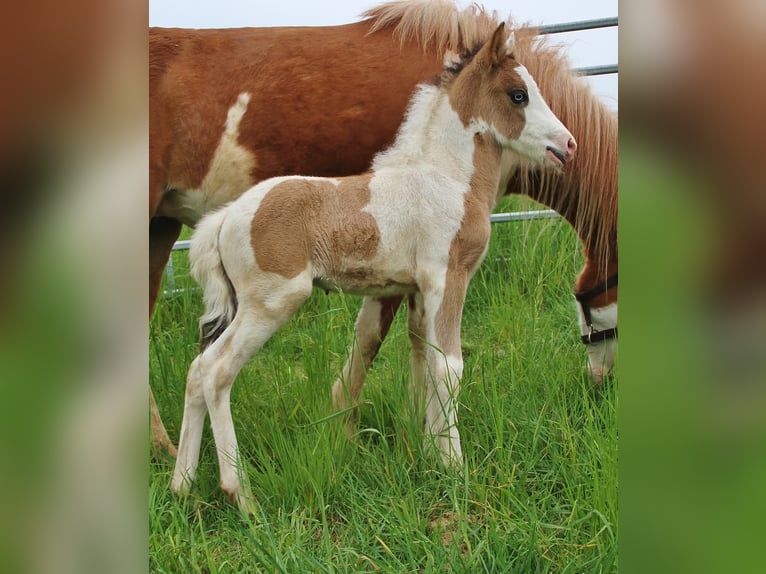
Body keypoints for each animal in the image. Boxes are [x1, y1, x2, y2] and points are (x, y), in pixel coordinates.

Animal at [150, 0, 617, 456]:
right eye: (519, 95)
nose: (568, 144)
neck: (443, 174)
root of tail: (225, 217)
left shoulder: (418, 285)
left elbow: (421, 352)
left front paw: (423, 447)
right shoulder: (447, 277)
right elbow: (442, 363)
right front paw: (450, 464)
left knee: (197, 372)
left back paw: (183, 474)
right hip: (268, 300)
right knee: (212, 371)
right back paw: (229, 479)